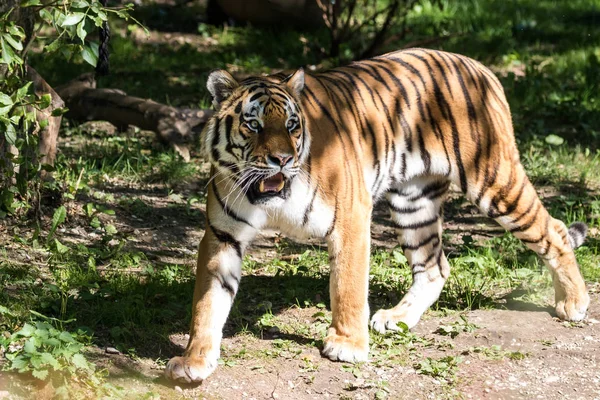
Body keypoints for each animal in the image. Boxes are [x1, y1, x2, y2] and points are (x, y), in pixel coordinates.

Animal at [164, 48, 592, 382]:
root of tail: (479, 67)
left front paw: (347, 345)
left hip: (494, 181)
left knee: (553, 229)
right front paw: (194, 360)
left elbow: (347, 287)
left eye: (291, 125)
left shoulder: (351, 217)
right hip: (414, 202)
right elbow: (207, 303)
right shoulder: (222, 235)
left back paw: (573, 303)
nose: (282, 159)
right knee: (434, 266)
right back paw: (396, 318)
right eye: (253, 125)